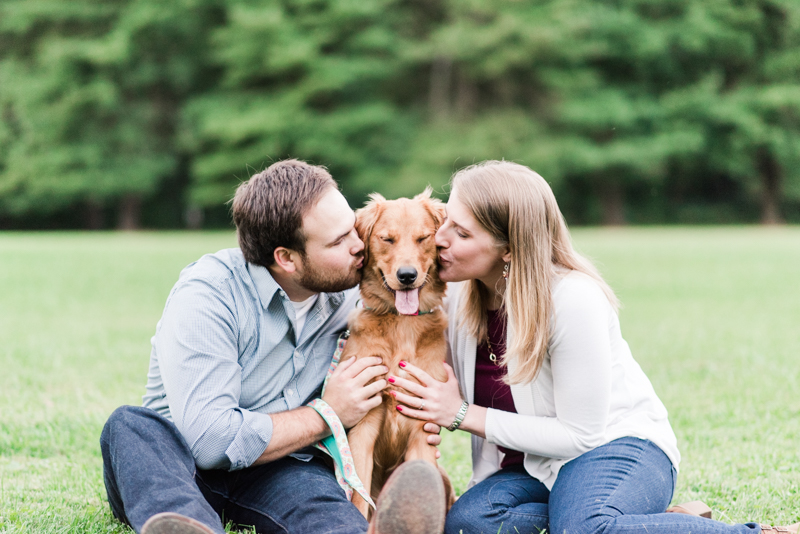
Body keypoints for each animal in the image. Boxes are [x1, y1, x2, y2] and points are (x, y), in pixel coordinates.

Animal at [340, 187, 456, 520]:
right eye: (387, 239)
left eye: (423, 238)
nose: (407, 275)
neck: (402, 323)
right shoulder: (363, 425)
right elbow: (359, 498)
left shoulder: (422, 426)